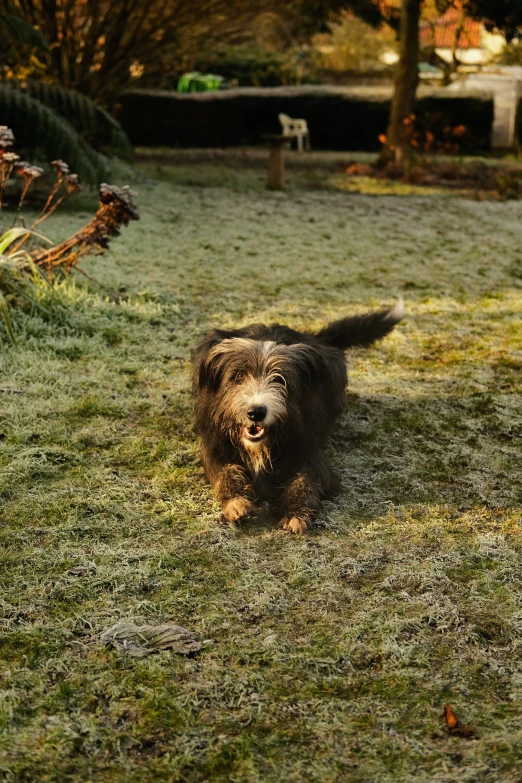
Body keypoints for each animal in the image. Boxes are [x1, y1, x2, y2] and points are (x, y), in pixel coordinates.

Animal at [191, 300, 402, 532]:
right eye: (238, 376)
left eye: (280, 380)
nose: (256, 412)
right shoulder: (215, 444)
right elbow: (224, 471)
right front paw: (236, 503)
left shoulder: (308, 448)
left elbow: (306, 479)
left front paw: (296, 513)